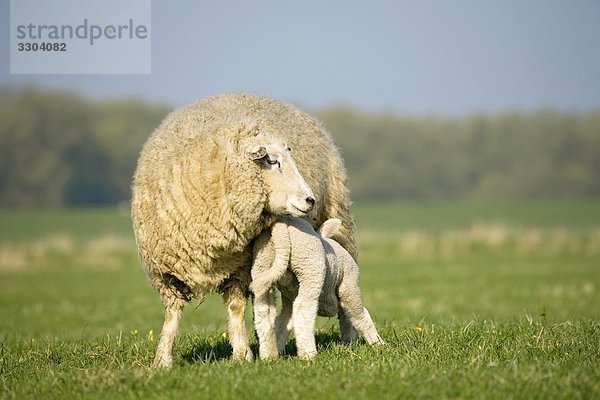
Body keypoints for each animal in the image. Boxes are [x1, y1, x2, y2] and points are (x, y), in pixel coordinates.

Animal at [131, 94, 356, 368]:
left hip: (340, 221)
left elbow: (236, 308)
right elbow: (172, 315)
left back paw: (348, 337)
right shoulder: (168, 272)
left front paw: (241, 355)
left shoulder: (239, 267)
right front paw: (162, 360)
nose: (310, 200)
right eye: (272, 161)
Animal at [250, 216, 382, 360]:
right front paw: (377, 344)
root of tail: (283, 225)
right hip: (309, 267)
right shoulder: (348, 286)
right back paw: (308, 354)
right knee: (304, 309)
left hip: (262, 263)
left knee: (266, 311)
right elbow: (358, 315)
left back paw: (269, 354)